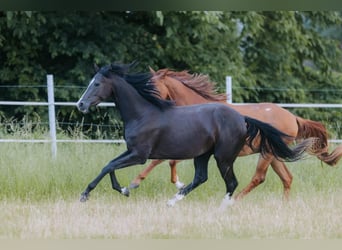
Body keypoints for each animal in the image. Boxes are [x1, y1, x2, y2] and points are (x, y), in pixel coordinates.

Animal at [76, 62, 314, 207]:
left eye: (97, 83)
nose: (81, 104)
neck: (143, 113)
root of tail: (242, 118)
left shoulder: (140, 155)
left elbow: (111, 166)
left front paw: (85, 195)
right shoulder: (132, 151)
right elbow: (109, 165)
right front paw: (124, 189)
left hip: (227, 157)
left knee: (237, 182)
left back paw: (224, 207)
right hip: (208, 155)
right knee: (203, 177)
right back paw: (173, 201)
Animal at [130, 68, 340, 199]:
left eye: (154, 87)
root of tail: (293, 117)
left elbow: (163, 160)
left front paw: (137, 183)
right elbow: (164, 160)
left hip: (267, 153)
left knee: (259, 178)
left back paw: (235, 200)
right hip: (274, 154)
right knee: (286, 178)